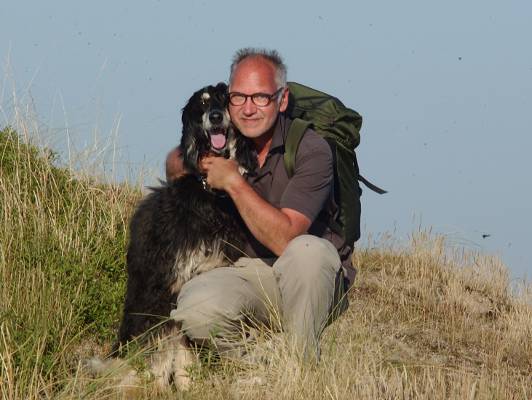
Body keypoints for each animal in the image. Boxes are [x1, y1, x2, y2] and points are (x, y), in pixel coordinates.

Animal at [104, 82, 256, 390]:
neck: (211, 196)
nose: (215, 117)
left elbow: (186, 348)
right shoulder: (165, 287)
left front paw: (189, 385)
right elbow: (162, 347)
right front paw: (157, 386)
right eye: (203, 103)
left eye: (226, 98)